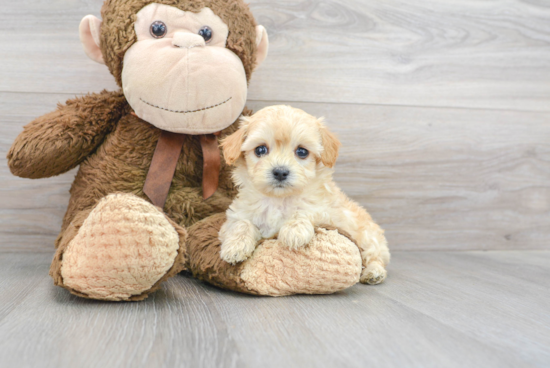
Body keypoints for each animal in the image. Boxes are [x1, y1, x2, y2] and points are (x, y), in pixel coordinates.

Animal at [218, 105, 390, 284]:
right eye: (260, 149)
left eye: (302, 152)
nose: (280, 172)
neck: (279, 200)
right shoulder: (235, 216)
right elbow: (241, 224)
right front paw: (235, 247)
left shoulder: (326, 213)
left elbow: (305, 211)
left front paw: (294, 231)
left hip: (369, 237)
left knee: (375, 257)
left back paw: (374, 272)